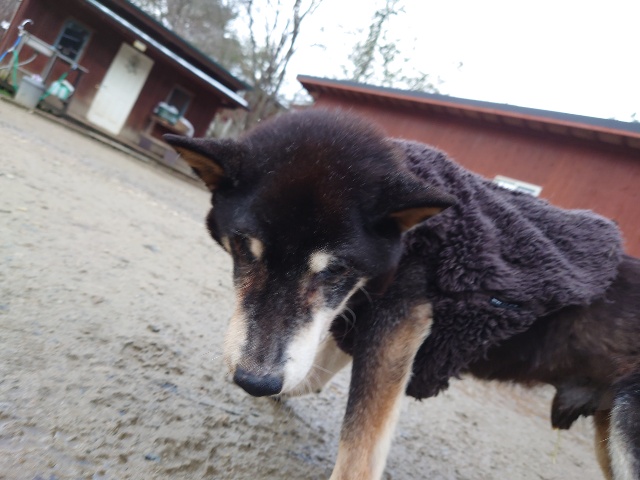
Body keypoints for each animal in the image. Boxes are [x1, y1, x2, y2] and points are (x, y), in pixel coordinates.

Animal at [165, 109, 640, 480]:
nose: (256, 382)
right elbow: (313, 372)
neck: (410, 238)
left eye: (335, 269)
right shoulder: (351, 319)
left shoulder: (396, 320)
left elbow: (358, 448)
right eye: (244, 247)